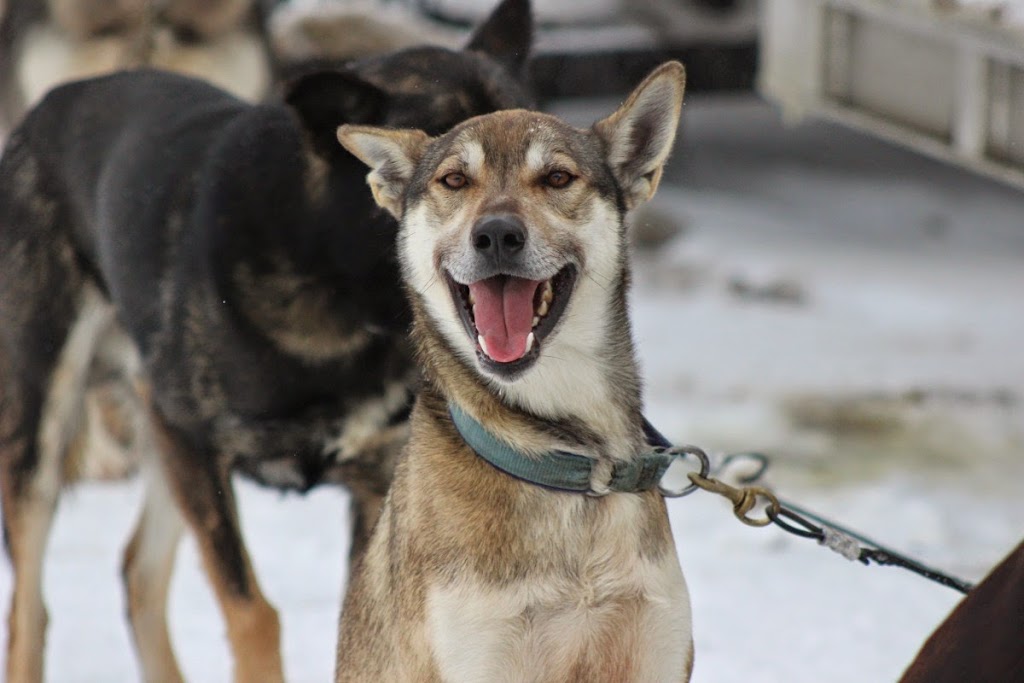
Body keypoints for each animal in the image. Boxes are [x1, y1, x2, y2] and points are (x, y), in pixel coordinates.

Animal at [0, 2, 532, 679]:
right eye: (451, 174)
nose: (512, 235)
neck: (332, 272)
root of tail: (55, 102)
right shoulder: (190, 441)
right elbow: (252, 611)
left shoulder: (374, 485)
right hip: (48, 421)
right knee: (29, 610)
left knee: (136, 574)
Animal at [339, 61, 692, 679]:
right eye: (455, 180)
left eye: (557, 177)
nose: (497, 234)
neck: (571, 463)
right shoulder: (478, 652)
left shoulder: (658, 645)